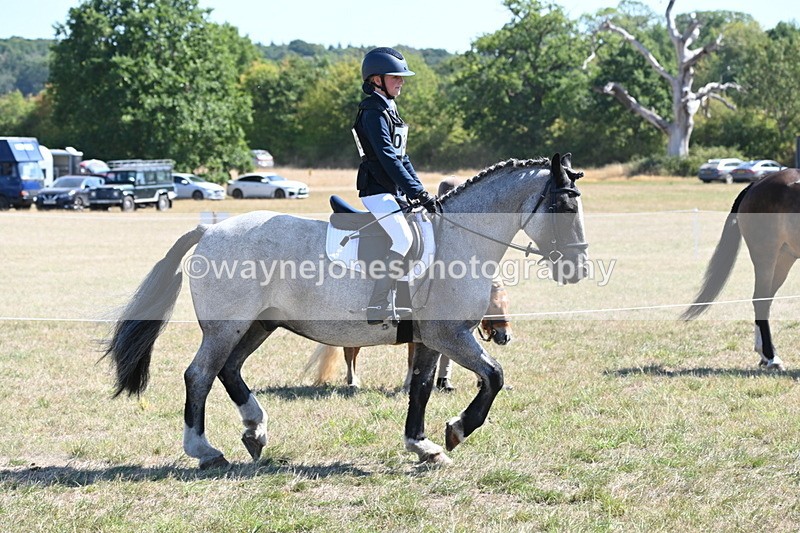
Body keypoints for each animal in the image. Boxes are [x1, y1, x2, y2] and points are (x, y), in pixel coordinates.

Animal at [305, 278, 513, 390]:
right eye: (495, 304)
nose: (506, 336)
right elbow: (413, 362)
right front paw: (408, 385)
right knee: (350, 355)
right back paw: (352, 382)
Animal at [682, 168, 800, 370]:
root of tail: (757, 184)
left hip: (784, 258)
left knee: (765, 301)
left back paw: (765, 355)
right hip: (766, 256)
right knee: (761, 300)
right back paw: (771, 358)